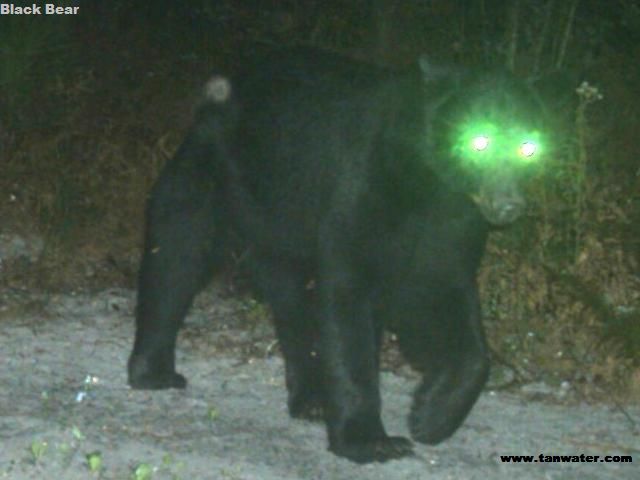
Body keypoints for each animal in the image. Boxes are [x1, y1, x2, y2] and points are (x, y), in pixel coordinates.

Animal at [129, 47, 544, 464]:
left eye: (528, 147)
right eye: (480, 141)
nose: (508, 205)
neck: (431, 188)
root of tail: (218, 93)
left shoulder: (449, 233)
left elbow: (447, 307)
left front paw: (429, 415)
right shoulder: (364, 191)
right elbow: (348, 305)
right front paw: (370, 440)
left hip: (283, 226)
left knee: (292, 303)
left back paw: (311, 399)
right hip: (216, 175)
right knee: (177, 254)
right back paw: (154, 370)